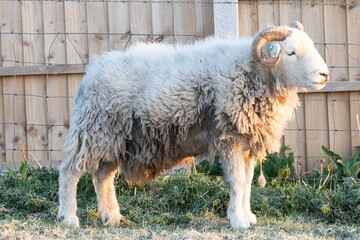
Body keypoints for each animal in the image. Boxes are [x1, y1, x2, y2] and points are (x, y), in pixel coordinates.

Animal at [57, 21, 328, 228]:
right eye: (290, 52)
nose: (324, 75)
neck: (252, 72)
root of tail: (90, 72)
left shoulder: (246, 141)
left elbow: (248, 182)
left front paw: (248, 216)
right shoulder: (230, 138)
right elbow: (238, 182)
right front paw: (238, 221)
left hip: (116, 139)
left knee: (102, 176)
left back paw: (111, 216)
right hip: (92, 131)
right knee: (69, 172)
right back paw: (69, 218)